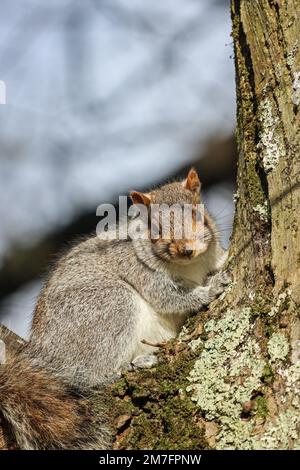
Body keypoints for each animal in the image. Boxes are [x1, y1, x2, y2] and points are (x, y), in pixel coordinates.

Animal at [0, 168, 227, 448]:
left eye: (199, 215)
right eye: (155, 229)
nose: (186, 249)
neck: (191, 265)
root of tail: (44, 352)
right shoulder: (138, 268)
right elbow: (168, 297)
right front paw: (210, 289)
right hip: (110, 306)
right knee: (93, 374)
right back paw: (130, 366)